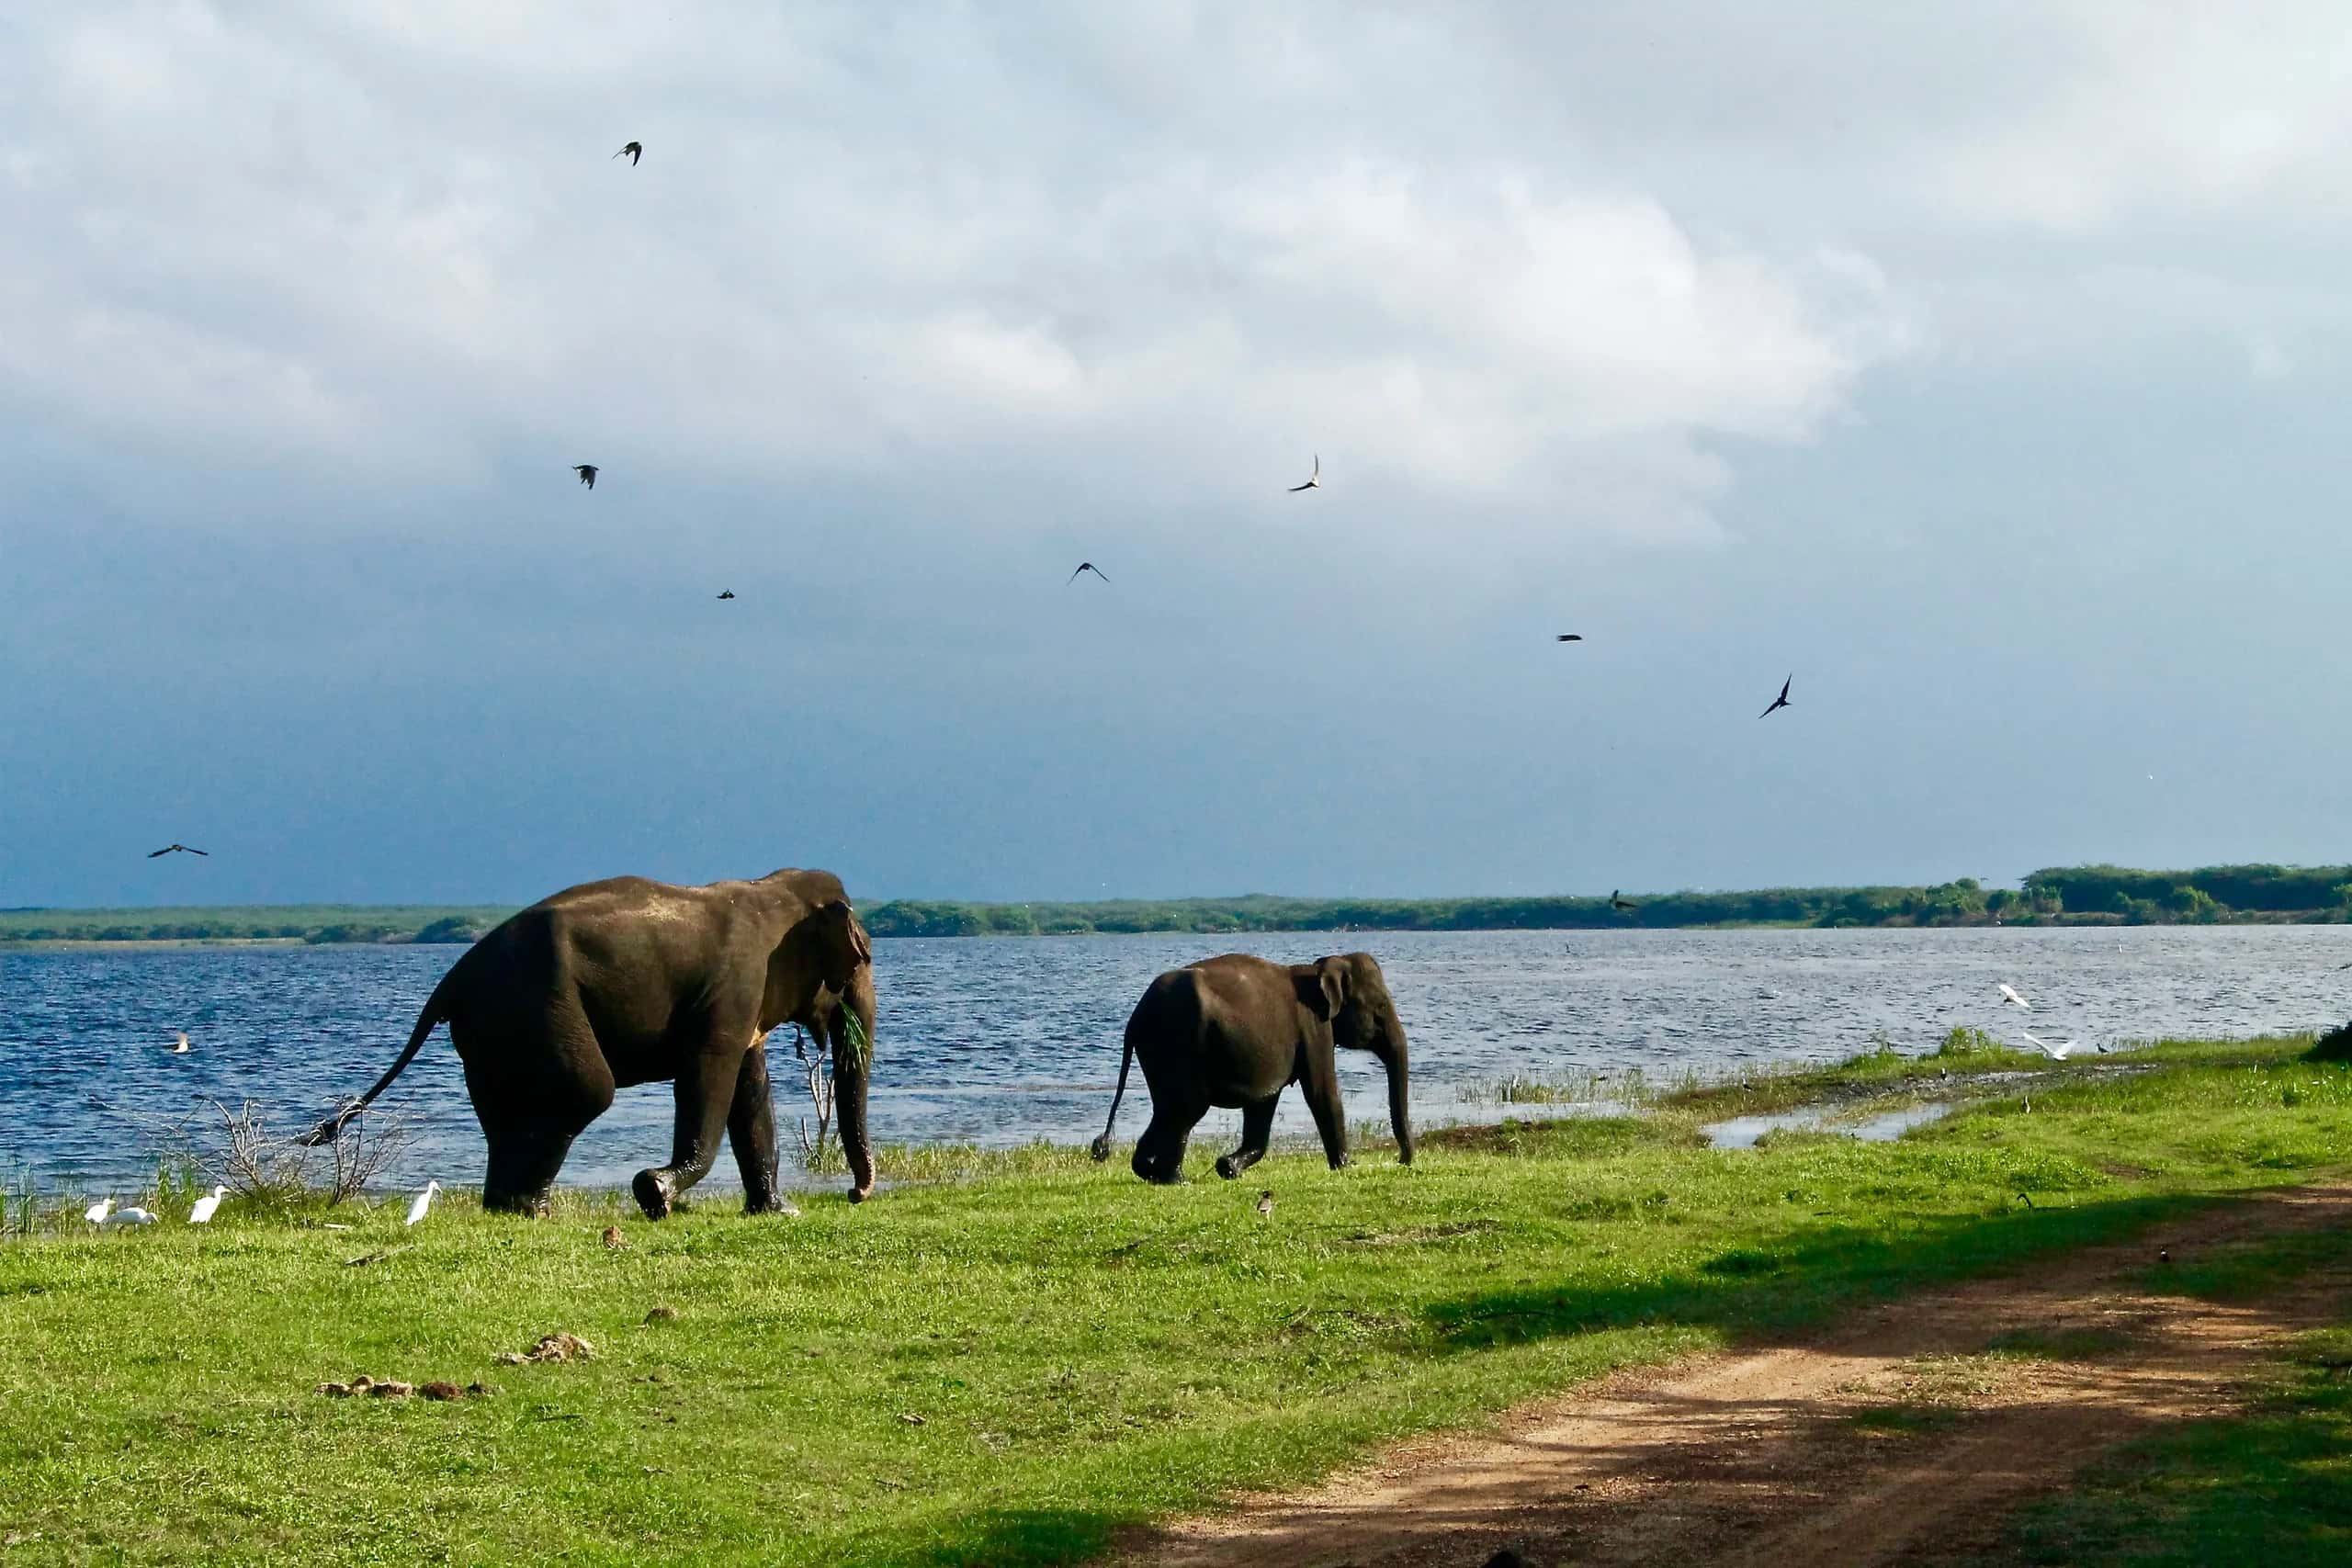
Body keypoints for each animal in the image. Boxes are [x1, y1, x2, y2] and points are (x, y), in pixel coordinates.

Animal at [300, 867, 876, 1218]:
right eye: (863, 958)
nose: (855, 1194)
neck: (770, 889)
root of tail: (449, 983)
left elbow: (750, 1092)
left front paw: (779, 1211)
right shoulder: (733, 992)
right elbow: (709, 1077)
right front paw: (655, 1194)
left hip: (491, 1035)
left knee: (508, 1115)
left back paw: (510, 1207)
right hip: (537, 1008)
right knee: (587, 1090)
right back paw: (533, 1208)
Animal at [1089, 951, 1414, 1184]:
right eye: (1380, 1007)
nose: (1401, 1160)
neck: (1321, 968)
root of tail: (1135, 1017)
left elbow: (1264, 1102)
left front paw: (1228, 1167)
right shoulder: (1314, 1028)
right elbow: (1322, 1093)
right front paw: (1347, 1166)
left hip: (1158, 1052)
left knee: (1167, 1108)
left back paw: (1147, 1172)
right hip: (1180, 1043)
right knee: (1187, 1108)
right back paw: (1176, 1179)